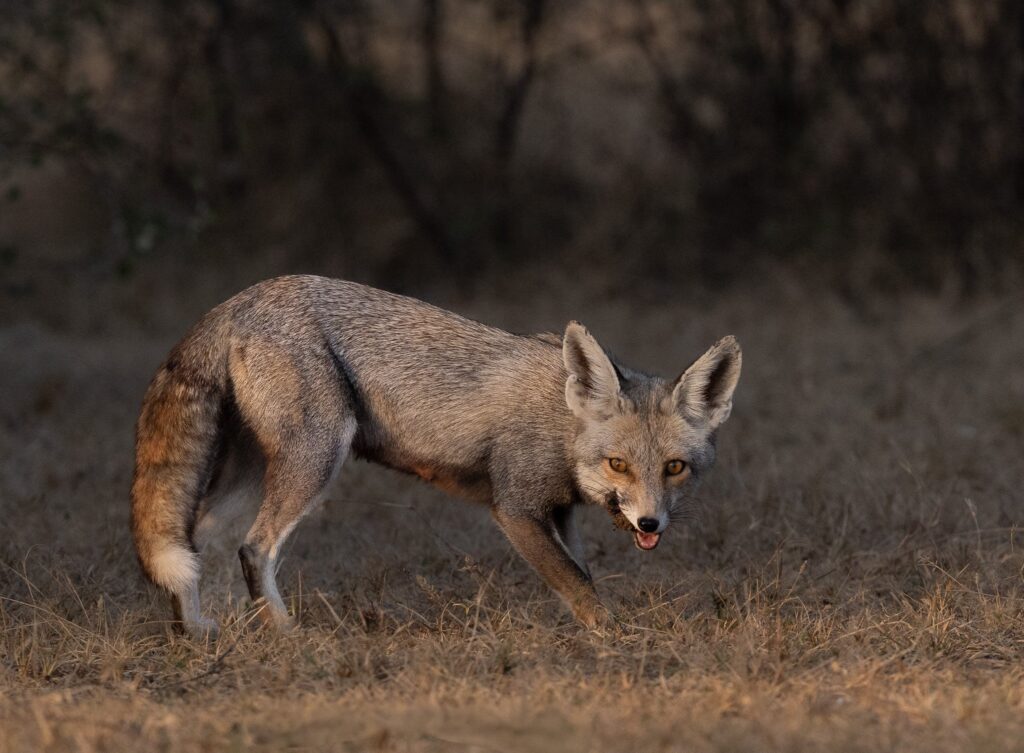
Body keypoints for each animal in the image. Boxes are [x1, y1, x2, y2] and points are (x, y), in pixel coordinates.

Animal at [131, 275, 741, 637]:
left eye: (674, 468)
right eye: (618, 464)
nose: (650, 523)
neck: (562, 422)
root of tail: (244, 296)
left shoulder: (562, 510)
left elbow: (582, 572)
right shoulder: (516, 509)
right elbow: (577, 583)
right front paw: (614, 639)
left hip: (257, 471)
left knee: (203, 539)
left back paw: (208, 634)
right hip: (315, 459)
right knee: (253, 548)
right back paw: (285, 636)